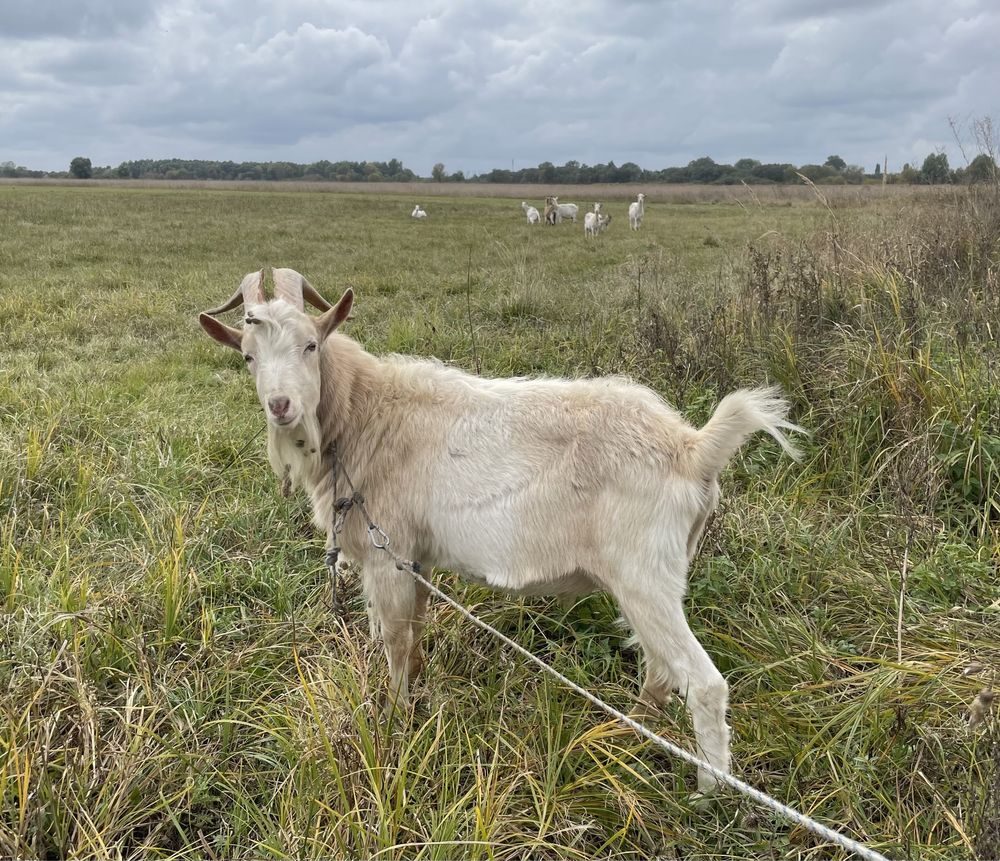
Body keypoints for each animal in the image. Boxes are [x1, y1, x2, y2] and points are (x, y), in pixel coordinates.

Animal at [201, 268, 804, 792]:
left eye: (311, 345)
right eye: (248, 356)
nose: (281, 406)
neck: (366, 414)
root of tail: (692, 449)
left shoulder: (386, 552)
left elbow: (394, 640)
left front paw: (394, 721)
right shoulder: (415, 556)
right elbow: (415, 632)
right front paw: (417, 694)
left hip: (645, 574)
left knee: (702, 682)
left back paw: (709, 793)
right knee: (658, 670)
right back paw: (618, 737)